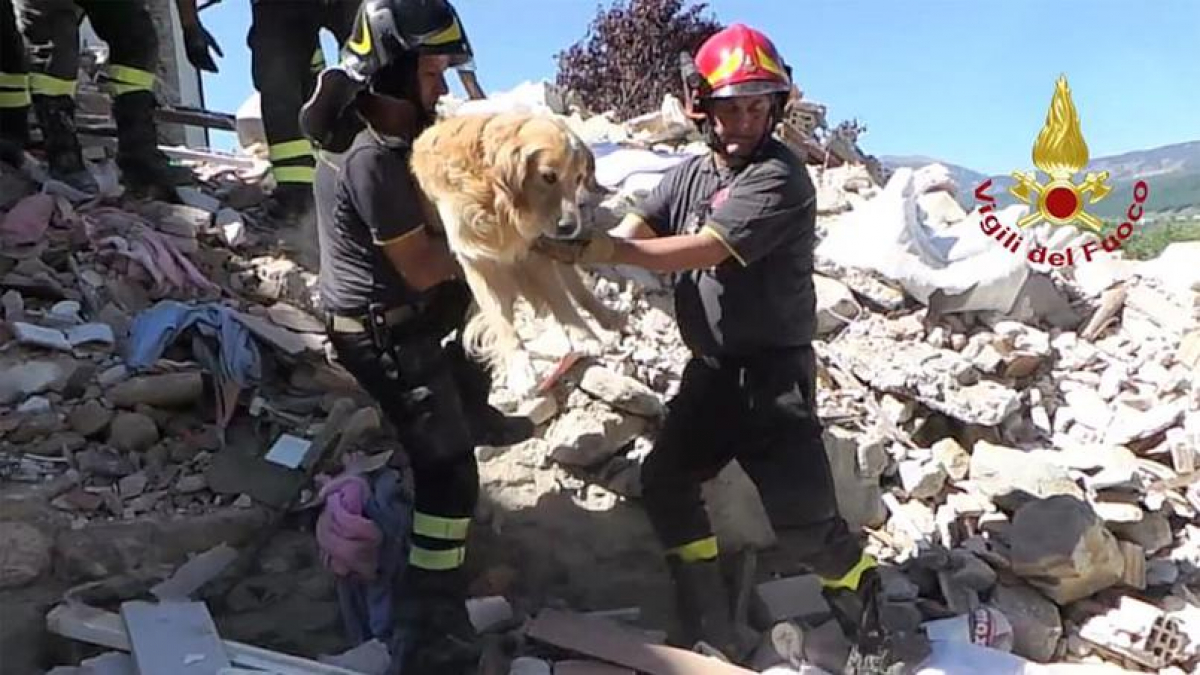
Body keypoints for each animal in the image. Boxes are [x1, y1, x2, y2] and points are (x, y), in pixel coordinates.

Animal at [297, 2, 528, 667]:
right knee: (447, 473)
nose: (449, 86)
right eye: (432, 67)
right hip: (393, 367)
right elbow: (426, 257)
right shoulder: (381, 180)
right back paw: (438, 620)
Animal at [408, 112, 624, 391]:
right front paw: (519, 368)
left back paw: (606, 319)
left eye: (578, 178)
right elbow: (501, 320)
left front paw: (584, 336)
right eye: (548, 177)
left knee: (576, 288)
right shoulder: (477, 261)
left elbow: (560, 298)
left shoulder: (534, 250)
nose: (570, 227)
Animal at [537, 22, 936, 672]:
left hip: (785, 432)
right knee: (670, 487)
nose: (752, 120)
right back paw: (710, 628)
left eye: (754, 107)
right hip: (707, 415)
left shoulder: (778, 187)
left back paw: (874, 640)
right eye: (734, 108)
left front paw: (587, 246)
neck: (733, 164)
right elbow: (649, 225)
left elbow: (706, 240)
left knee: (811, 533)